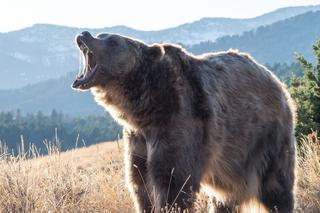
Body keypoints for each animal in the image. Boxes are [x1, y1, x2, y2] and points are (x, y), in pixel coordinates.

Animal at [72, 30, 296, 212]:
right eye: (101, 34)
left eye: (112, 40)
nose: (84, 34)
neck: (143, 109)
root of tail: (276, 81)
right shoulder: (138, 139)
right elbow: (140, 185)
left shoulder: (179, 122)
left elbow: (172, 184)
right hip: (231, 160)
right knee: (224, 196)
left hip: (266, 136)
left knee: (277, 185)